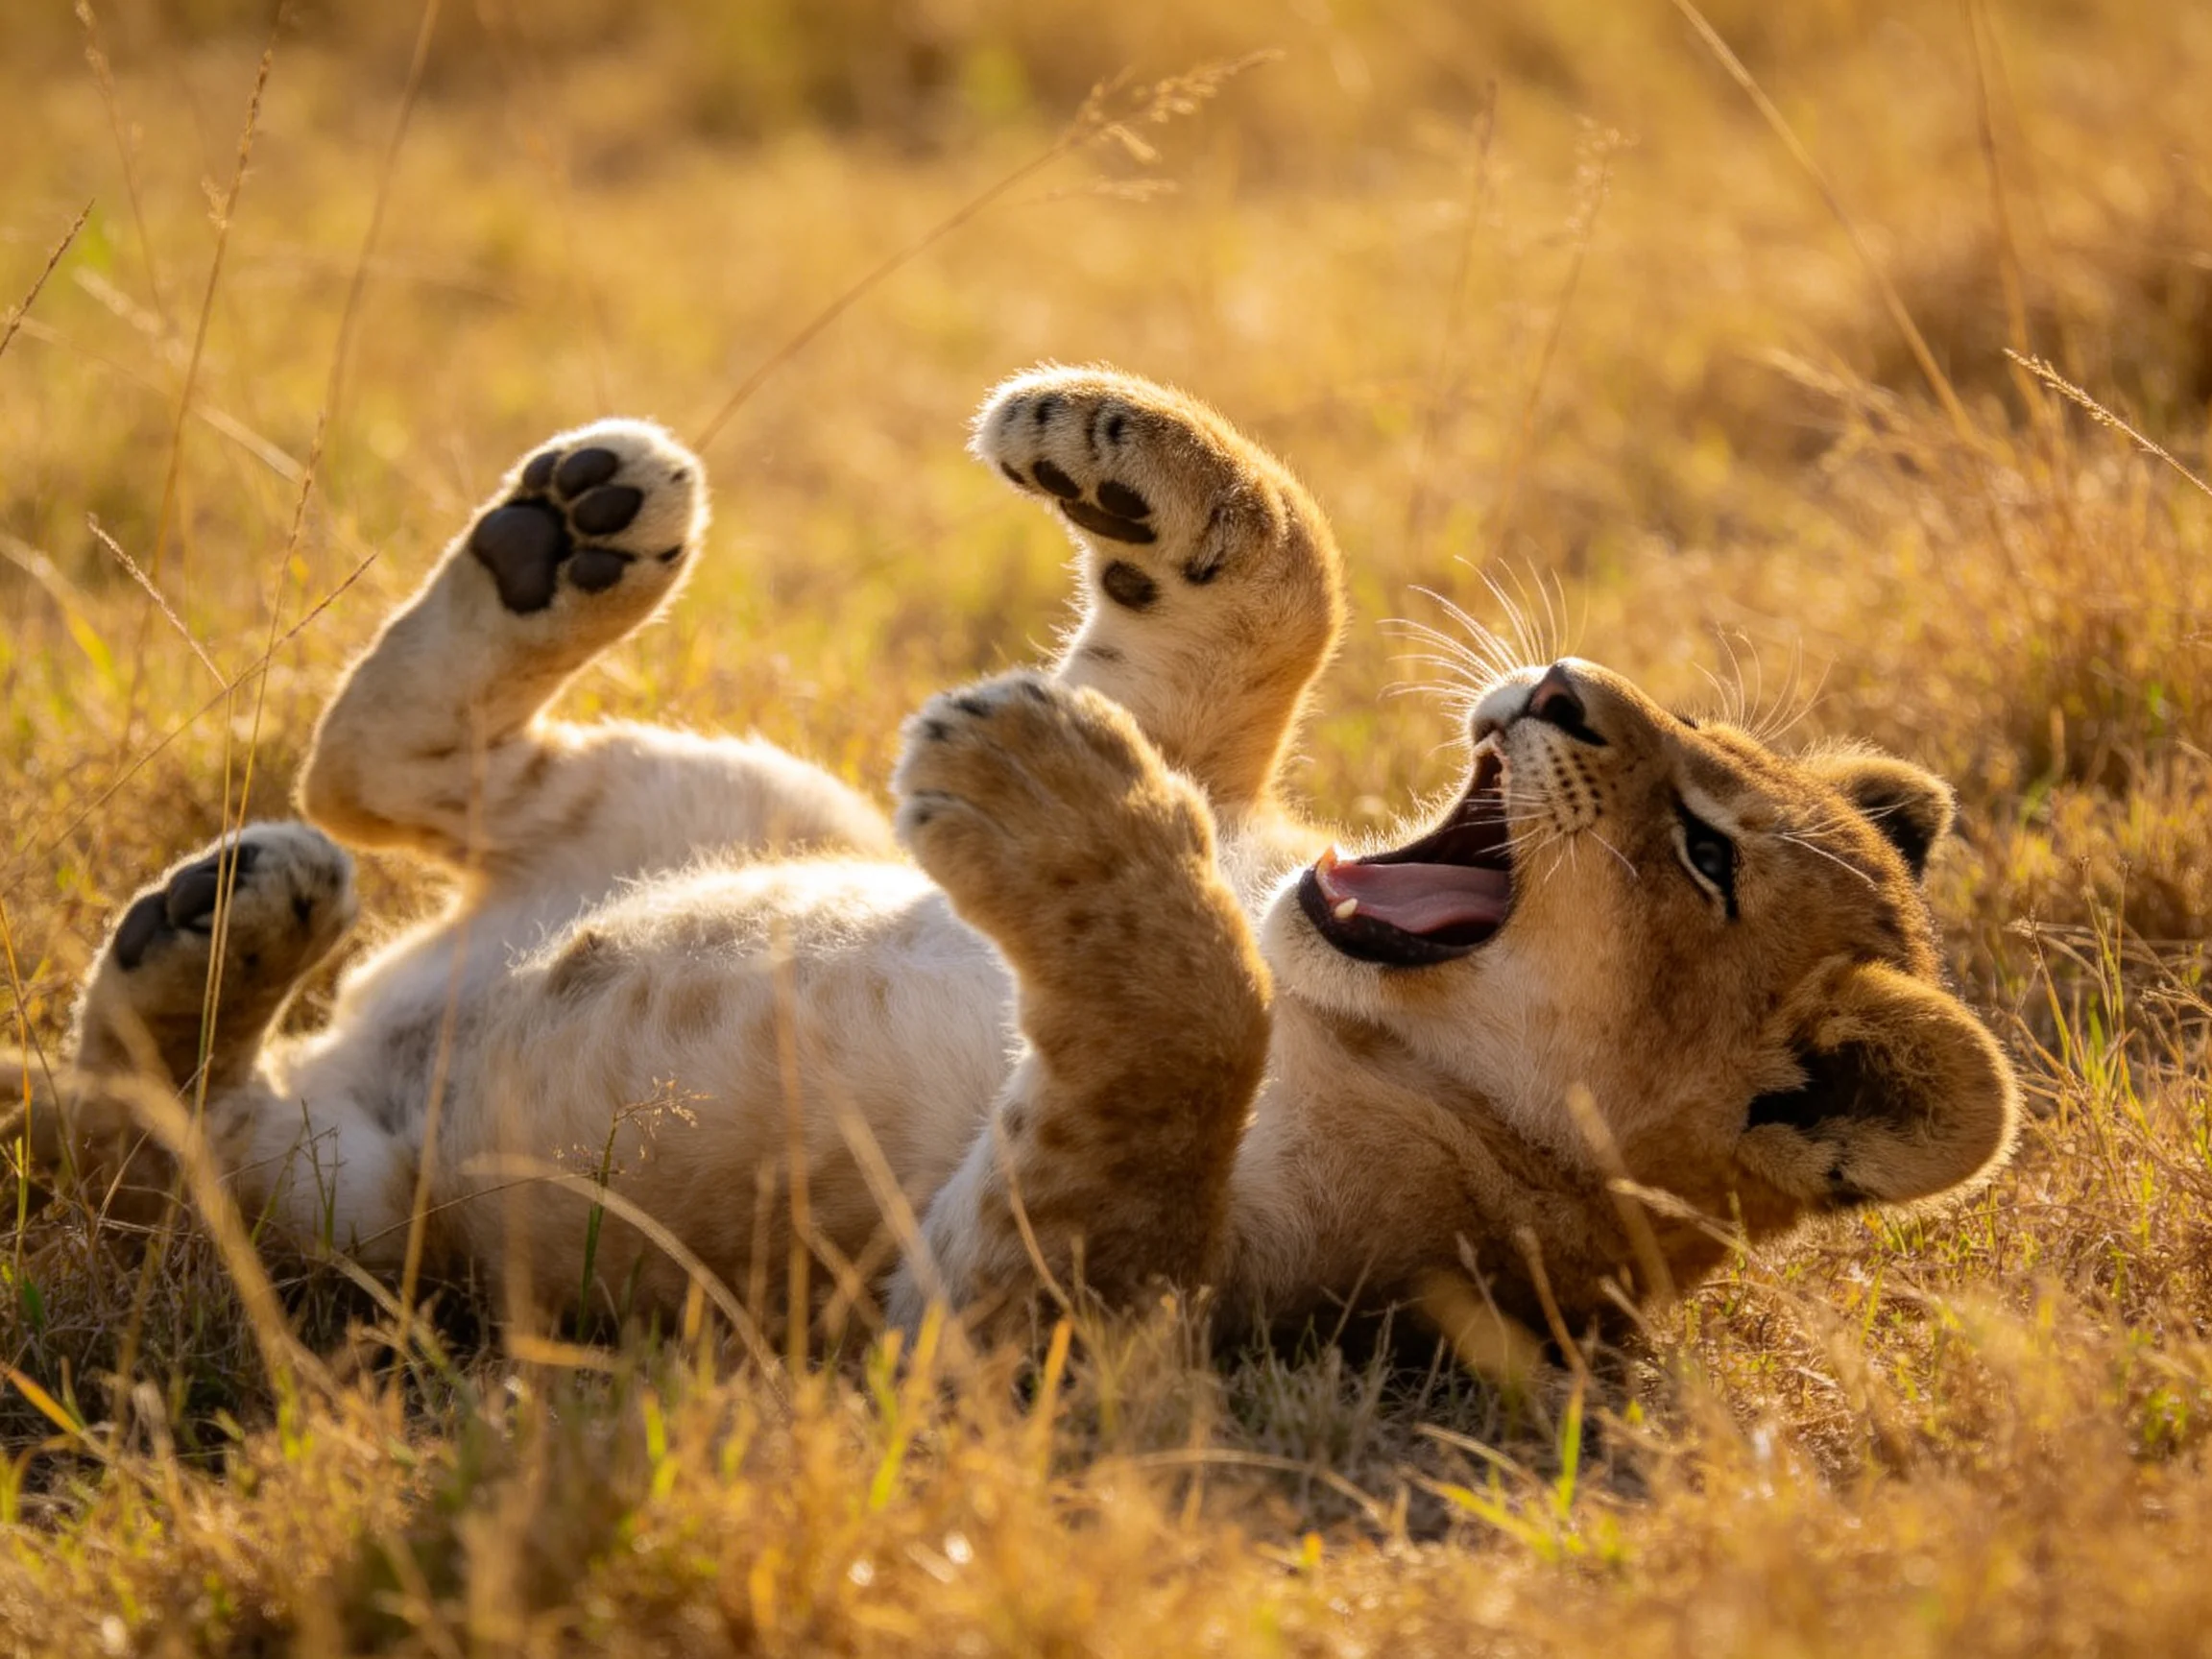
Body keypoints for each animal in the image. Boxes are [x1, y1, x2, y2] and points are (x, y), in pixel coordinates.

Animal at [12, 366, 2019, 1348]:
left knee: (156, 1127)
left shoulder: (1033, 1328)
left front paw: (1045, 782)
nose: (1566, 681)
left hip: (345, 1225)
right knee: (374, 762)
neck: (1364, 1004)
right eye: (1693, 770)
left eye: (1701, 852)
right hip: (718, 798)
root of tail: (363, 1036)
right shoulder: (1216, 770)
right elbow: (1270, 602)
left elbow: (1183, 1042)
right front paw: (1130, 458)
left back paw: (215, 933)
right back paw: (567, 534)